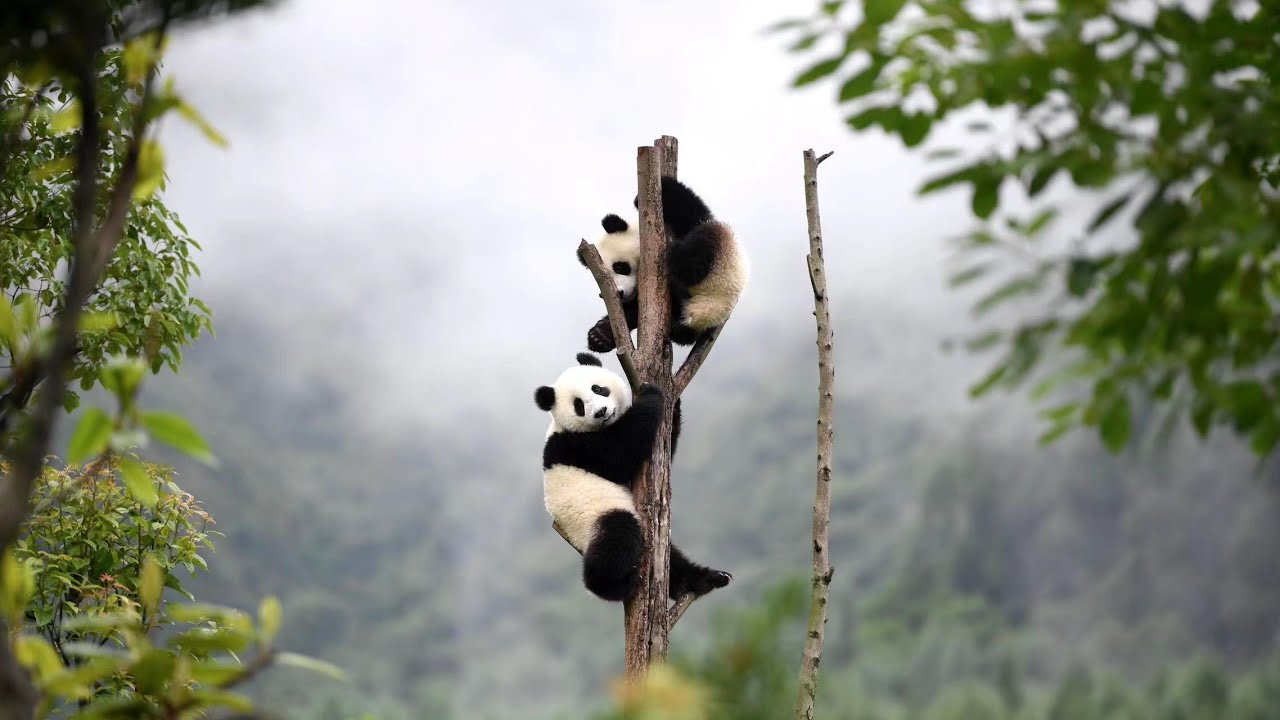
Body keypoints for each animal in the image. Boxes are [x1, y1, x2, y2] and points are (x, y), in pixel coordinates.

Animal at [535, 352, 731, 602]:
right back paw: (615, 586)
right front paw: (651, 394)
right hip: (590, 518)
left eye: (598, 389)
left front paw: (672, 401)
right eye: (578, 405)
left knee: (671, 558)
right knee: (618, 536)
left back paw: (703, 579)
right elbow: (621, 453)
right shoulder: (573, 445)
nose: (601, 412)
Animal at [582, 176, 750, 353]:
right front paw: (600, 336)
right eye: (602, 279)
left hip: (721, 263)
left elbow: (689, 210)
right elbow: (634, 311)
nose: (620, 294)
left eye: (620, 267)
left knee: (699, 248)